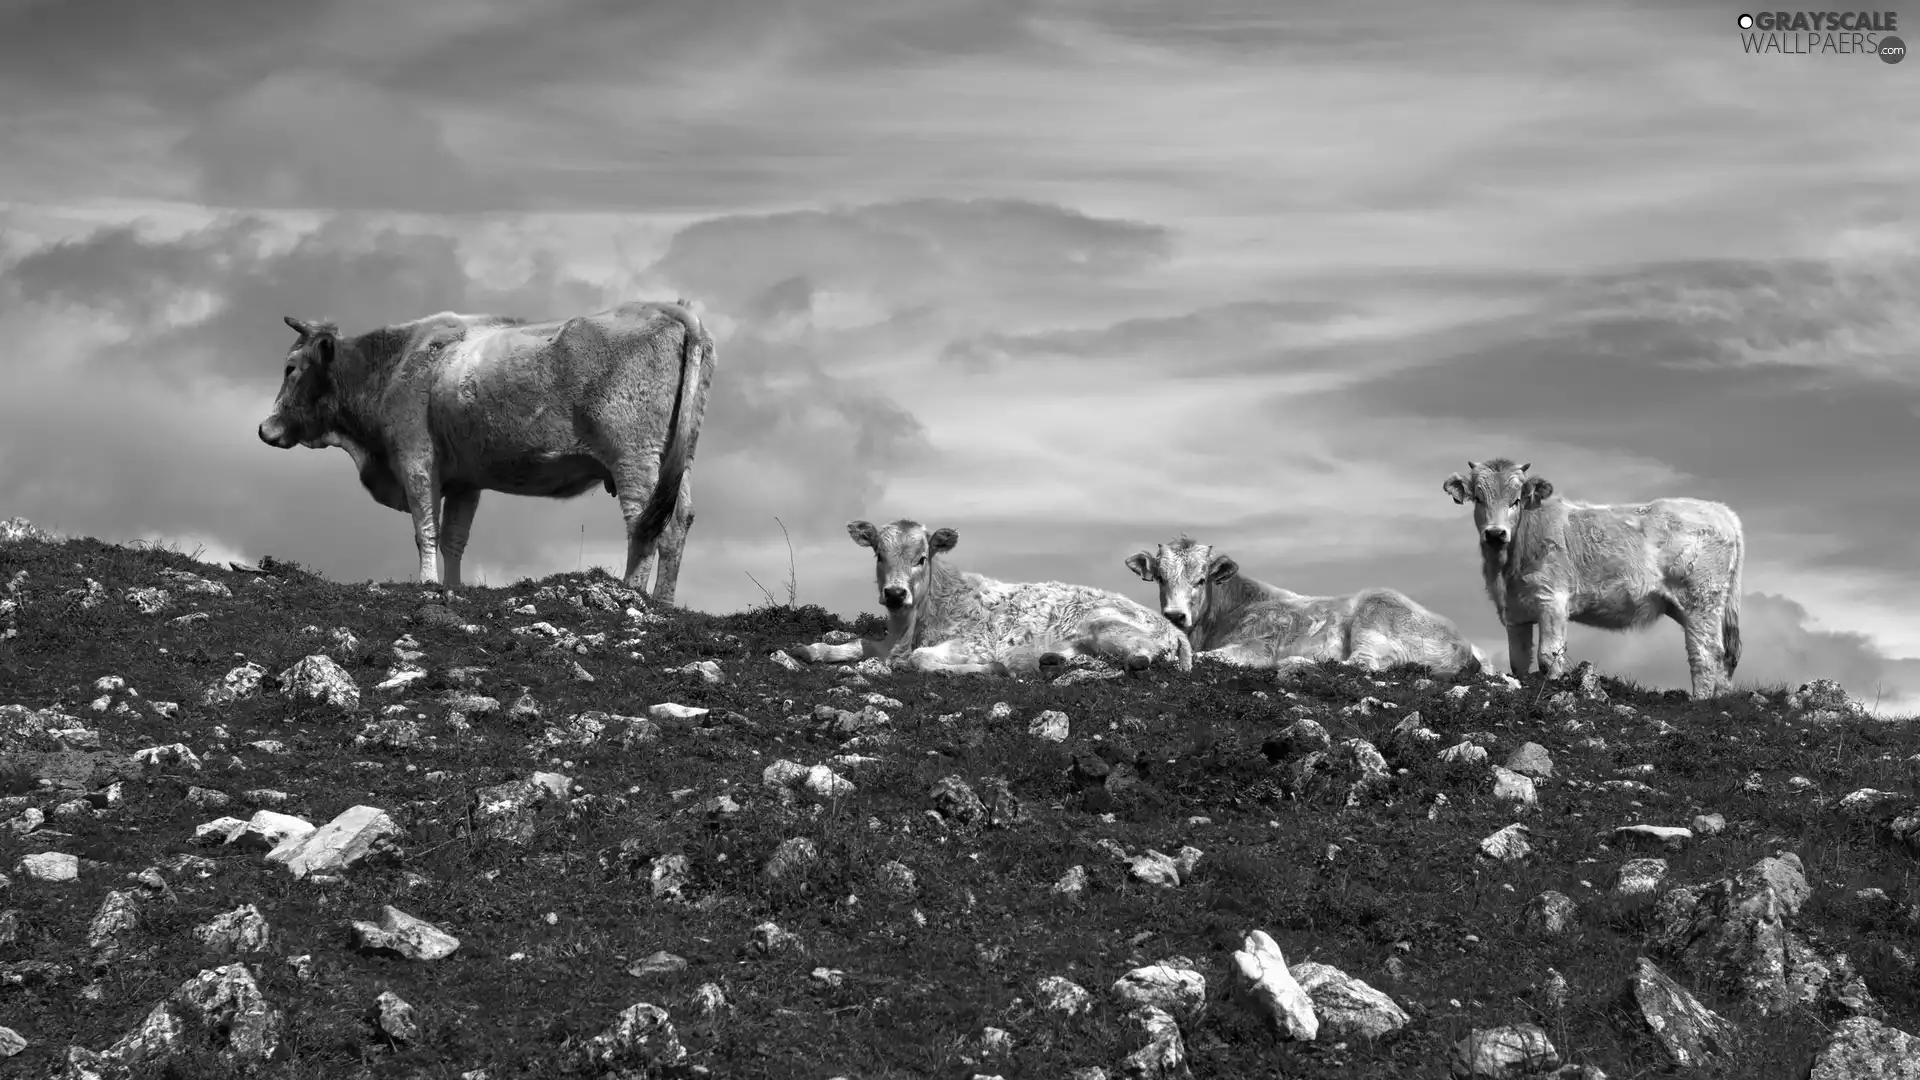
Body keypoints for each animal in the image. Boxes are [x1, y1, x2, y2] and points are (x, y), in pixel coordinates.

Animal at [259, 297, 718, 595]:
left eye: (291, 367)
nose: (265, 429)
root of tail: (671, 309)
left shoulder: (416, 460)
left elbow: (425, 530)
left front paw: (427, 585)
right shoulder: (466, 481)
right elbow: (454, 538)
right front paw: (453, 587)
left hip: (634, 457)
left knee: (643, 522)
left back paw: (633, 594)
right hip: (677, 460)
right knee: (677, 522)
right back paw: (663, 602)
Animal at [791, 515, 1182, 672]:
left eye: (921, 558)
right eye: (878, 555)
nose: (895, 593)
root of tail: (1174, 629)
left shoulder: (977, 643)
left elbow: (920, 659)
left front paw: (994, 668)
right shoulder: (888, 642)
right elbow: (856, 643)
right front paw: (810, 649)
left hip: (1103, 625)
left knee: (1143, 655)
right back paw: (1050, 659)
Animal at [1121, 538, 1482, 672]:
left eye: (1200, 580)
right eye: (1160, 578)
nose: (1174, 615)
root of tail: (1464, 646)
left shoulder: (1260, 643)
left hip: (1374, 613)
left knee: (1361, 663)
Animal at [1443, 455, 1743, 699]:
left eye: (1516, 500)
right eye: (1479, 498)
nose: (1495, 533)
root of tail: (1720, 510)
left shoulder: (1552, 600)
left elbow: (1549, 655)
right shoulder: (1515, 613)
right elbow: (1518, 660)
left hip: (1701, 600)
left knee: (1706, 652)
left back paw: (1701, 701)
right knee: (1724, 656)